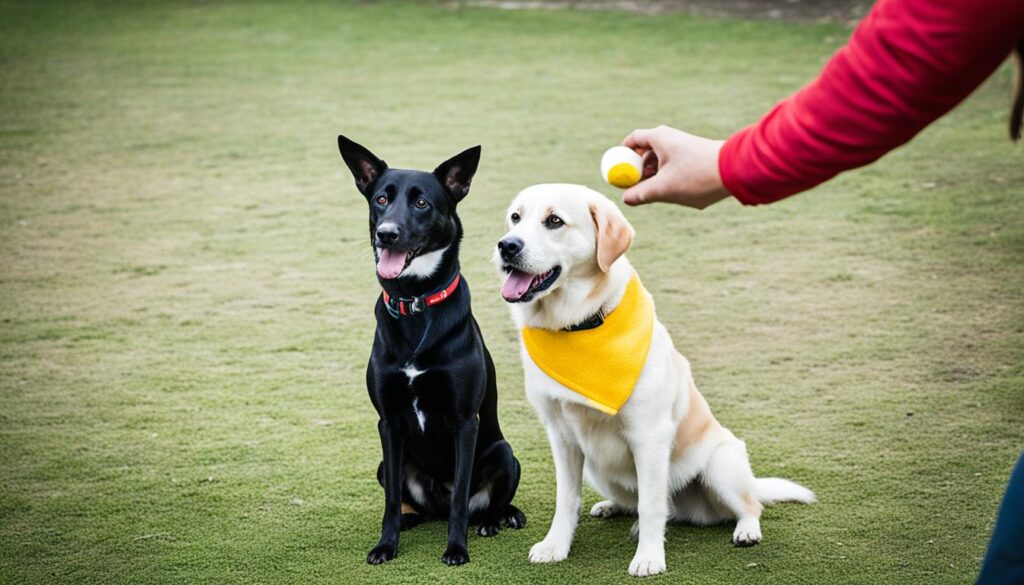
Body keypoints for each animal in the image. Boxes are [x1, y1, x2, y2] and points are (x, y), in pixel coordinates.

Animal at [337, 135, 524, 565]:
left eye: (422, 203)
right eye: (381, 199)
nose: (386, 234)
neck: (416, 302)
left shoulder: (465, 421)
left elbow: (459, 501)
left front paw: (457, 548)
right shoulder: (387, 423)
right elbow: (391, 498)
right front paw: (386, 545)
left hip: (504, 453)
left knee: (475, 503)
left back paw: (496, 519)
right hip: (386, 463)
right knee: (413, 501)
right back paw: (412, 518)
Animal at [495, 185, 815, 577]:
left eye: (554, 220)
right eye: (515, 217)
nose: (506, 246)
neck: (580, 324)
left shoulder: (648, 435)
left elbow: (651, 505)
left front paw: (649, 557)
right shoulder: (562, 436)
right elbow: (566, 499)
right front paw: (556, 545)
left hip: (721, 465)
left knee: (747, 505)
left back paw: (746, 530)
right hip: (599, 469)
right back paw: (612, 506)